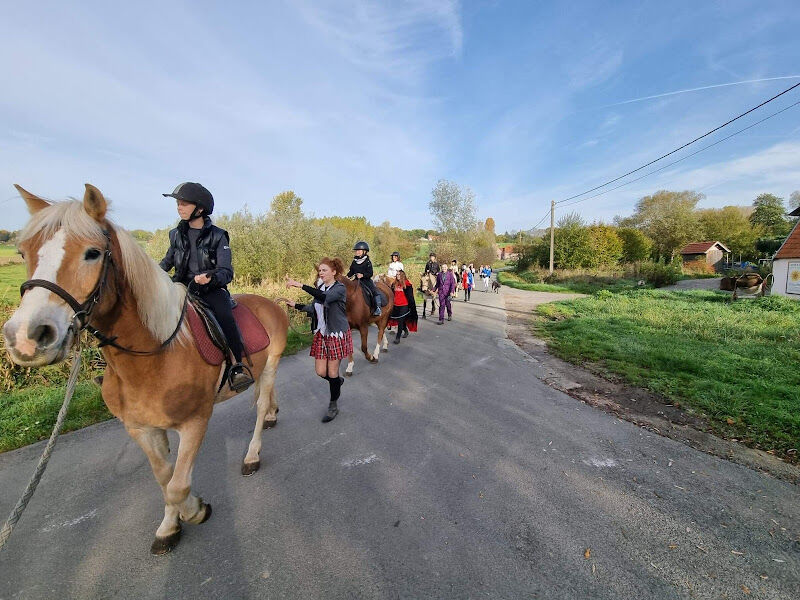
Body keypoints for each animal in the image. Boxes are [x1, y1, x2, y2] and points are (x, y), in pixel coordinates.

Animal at [1, 185, 290, 556]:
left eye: (92, 253)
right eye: (24, 252)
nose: (25, 337)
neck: (153, 355)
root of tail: (270, 303)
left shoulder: (195, 422)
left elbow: (178, 485)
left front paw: (194, 510)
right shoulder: (141, 429)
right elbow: (164, 479)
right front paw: (169, 527)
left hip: (270, 365)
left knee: (259, 404)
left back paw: (253, 453)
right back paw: (271, 415)